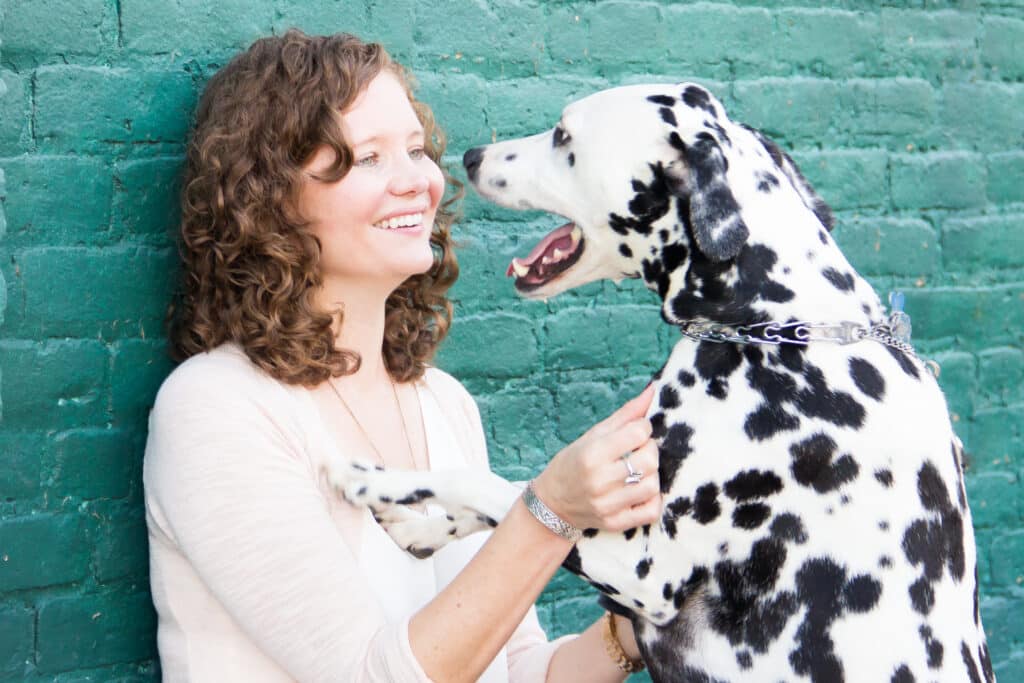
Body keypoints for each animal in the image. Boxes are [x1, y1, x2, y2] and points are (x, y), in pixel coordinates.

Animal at [333, 82, 991, 679]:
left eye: (564, 136)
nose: (470, 157)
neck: (778, 325)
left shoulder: (649, 574)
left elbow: (498, 488)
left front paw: (372, 481)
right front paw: (419, 524)